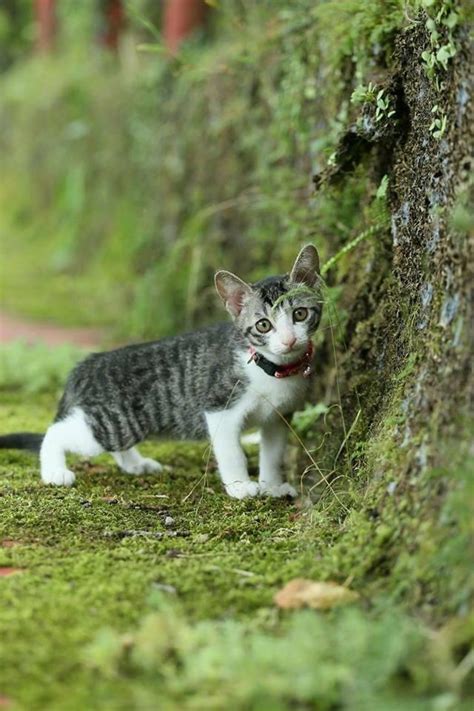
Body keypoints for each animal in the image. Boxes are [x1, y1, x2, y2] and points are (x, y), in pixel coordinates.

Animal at [0, 245, 322, 500]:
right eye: (263, 325)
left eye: (300, 314)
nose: (288, 340)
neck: (271, 369)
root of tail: (88, 364)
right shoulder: (220, 408)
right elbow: (231, 452)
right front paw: (241, 486)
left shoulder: (278, 417)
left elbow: (273, 453)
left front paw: (273, 485)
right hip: (111, 424)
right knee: (56, 432)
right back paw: (55, 471)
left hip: (121, 425)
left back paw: (135, 464)